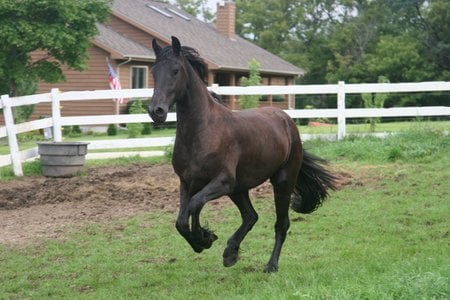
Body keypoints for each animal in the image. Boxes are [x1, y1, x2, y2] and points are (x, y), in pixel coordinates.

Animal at [148, 37, 334, 272]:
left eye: (175, 70)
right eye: (154, 71)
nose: (156, 111)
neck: (202, 132)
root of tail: (287, 120)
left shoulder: (222, 182)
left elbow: (195, 205)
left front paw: (204, 238)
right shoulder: (187, 182)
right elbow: (181, 222)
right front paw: (203, 241)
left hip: (282, 181)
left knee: (281, 224)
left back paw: (270, 265)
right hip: (239, 189)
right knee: (251, 216)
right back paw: (230, 253)